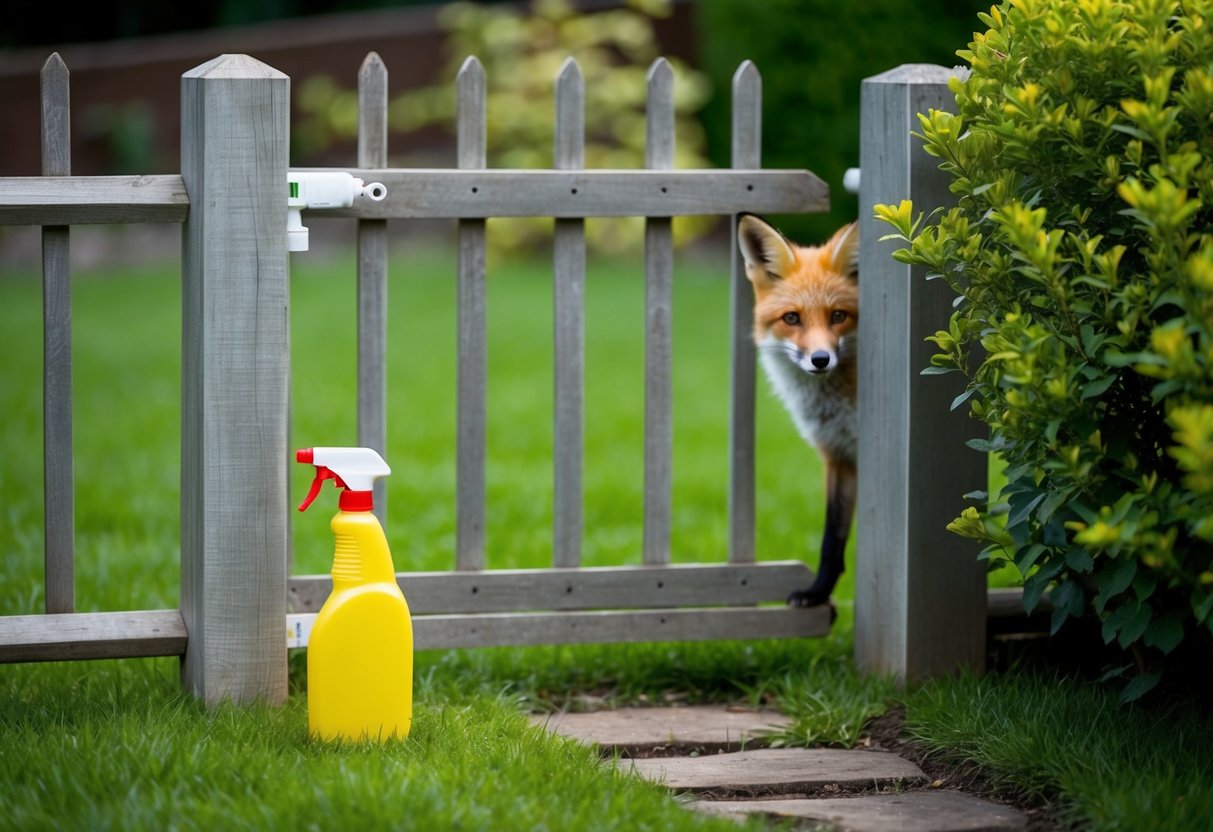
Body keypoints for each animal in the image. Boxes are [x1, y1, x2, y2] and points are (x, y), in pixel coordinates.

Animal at [737, 214, 859, 609]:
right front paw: (817, 593)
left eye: (838, 316)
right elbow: (831, 540)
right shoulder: (839, 455)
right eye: (792, 318)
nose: (821, 359)